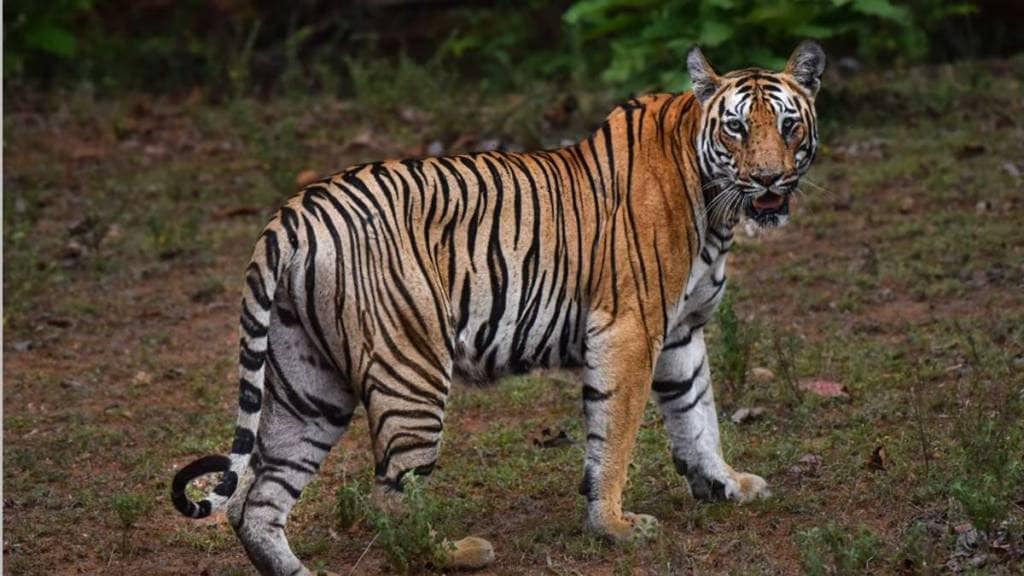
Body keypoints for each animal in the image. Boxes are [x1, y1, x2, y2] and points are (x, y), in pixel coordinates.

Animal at [167, 41, 823, 573]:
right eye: (736, 129)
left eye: (788, 126)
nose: (769, 179)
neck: (716, 206)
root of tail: (294, 213)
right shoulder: (631, 331)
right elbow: (616, 435)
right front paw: (612, 526)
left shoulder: (682, 332)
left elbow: (698, 414)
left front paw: (725, 485)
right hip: (410, 372)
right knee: (391, 500)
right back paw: (459, 552)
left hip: (307, 384)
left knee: (257, 502)